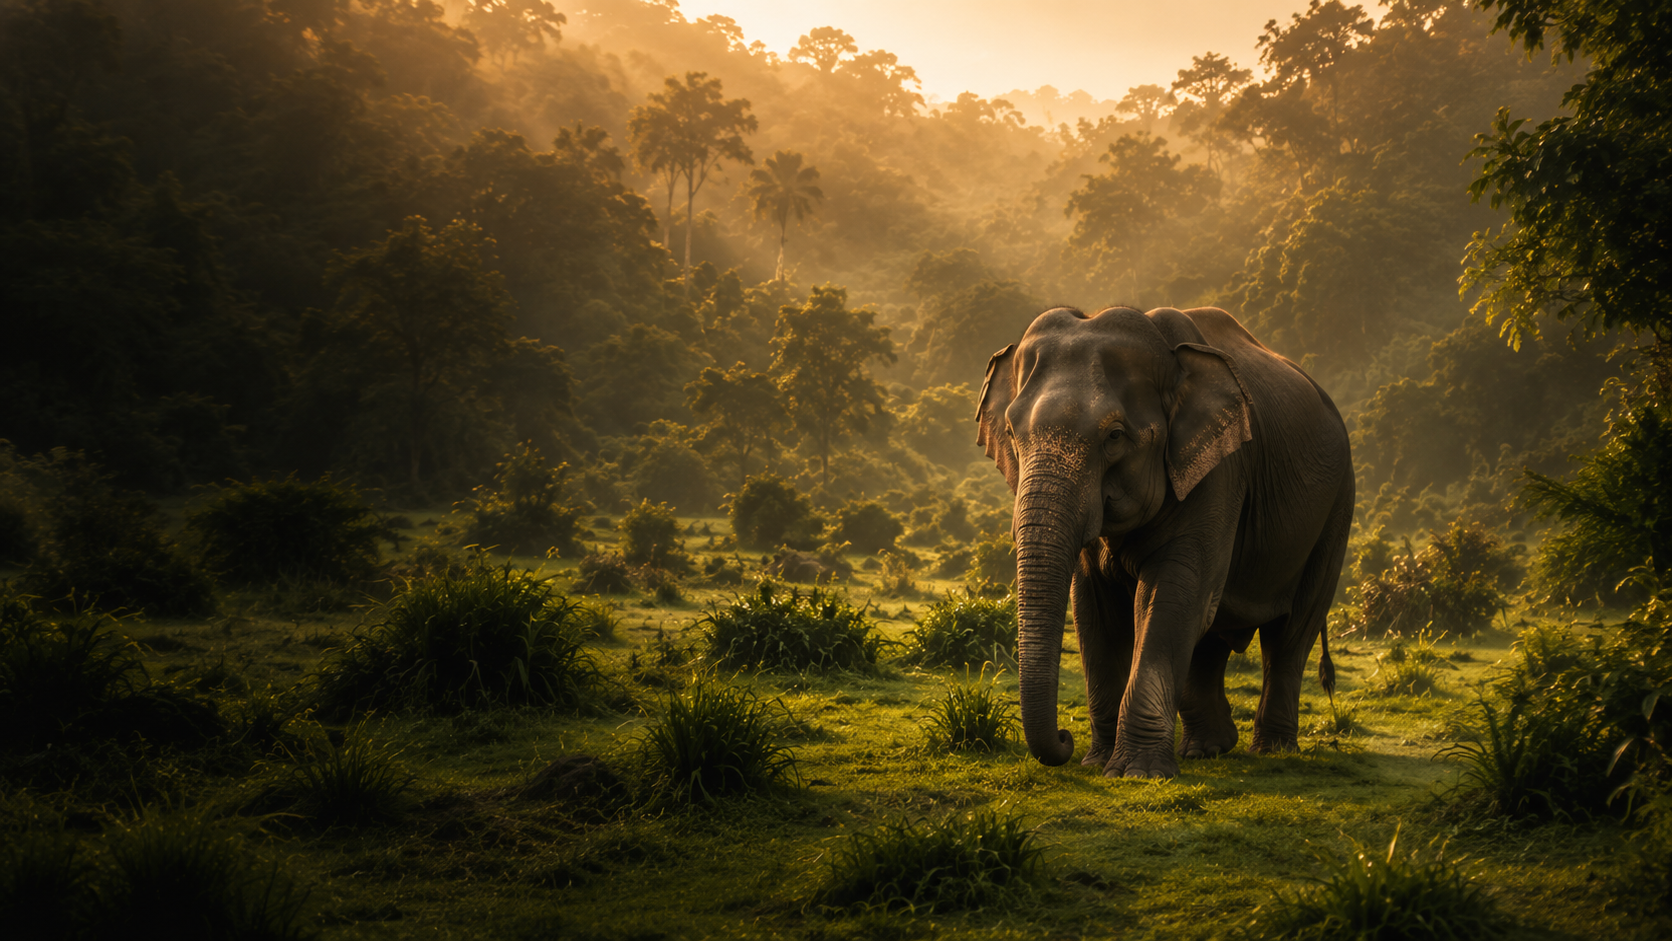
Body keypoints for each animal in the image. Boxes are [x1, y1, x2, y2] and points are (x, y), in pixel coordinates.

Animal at [976, 305, 1352, 779]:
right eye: (1010, 432)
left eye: (1115, 436)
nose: (1064, 738)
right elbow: (1095, 608)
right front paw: (1097, 762)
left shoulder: (1221, 471)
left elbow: (1172, 592)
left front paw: (1135, 773)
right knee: (1214, 632)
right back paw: (1209, 748)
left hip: (1337, 507)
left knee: (1289, 632)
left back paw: (1273, 751)